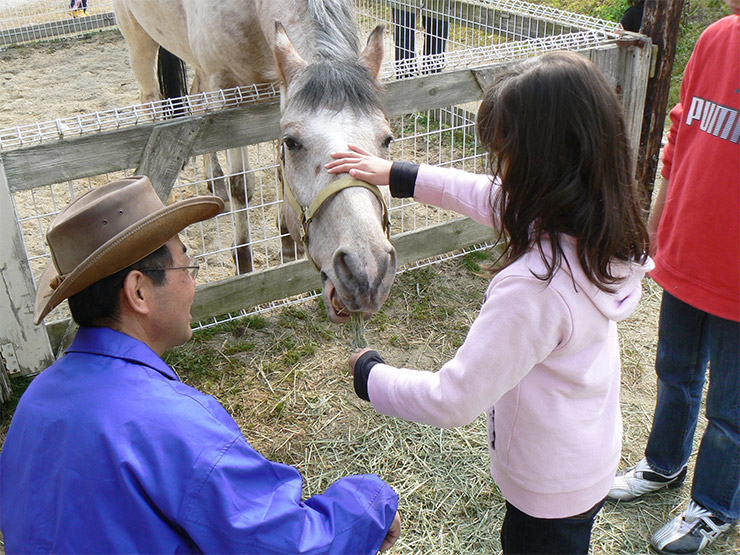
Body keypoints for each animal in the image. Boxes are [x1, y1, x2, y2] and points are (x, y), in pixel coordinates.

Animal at [112, 0, 396, 324]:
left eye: (387, 139)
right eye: (292, 142)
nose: (367, 270)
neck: (251, 9)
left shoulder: (276, 88)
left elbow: (277, 172)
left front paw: (287, 244)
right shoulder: (227, 92)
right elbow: (242, 186)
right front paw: (244, 267)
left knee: (196, 99)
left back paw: (215, 183)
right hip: (139, 40)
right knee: (150, 101)